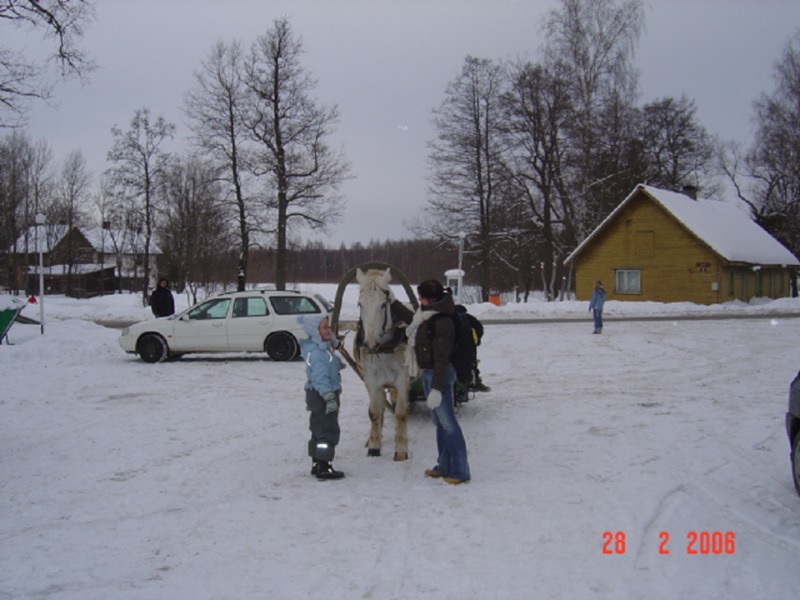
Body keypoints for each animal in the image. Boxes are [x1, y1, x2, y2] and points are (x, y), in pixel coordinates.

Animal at [354, 266, 410, 460]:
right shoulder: (371, 380)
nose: (370, 344)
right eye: (360, 304)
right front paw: (374, 445)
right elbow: (374, 412)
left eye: (383, 305)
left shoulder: (402, 379)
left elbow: (401, 412)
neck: (385, 348)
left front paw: (401, 449)